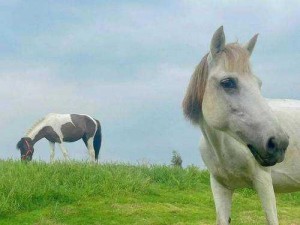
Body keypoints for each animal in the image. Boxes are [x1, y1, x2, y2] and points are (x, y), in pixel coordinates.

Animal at [182, 25, 300, 223]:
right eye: (227, 82)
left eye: (258, 84)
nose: (279, 143)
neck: (223, 147)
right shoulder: (220, 186)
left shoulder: (264, 182)